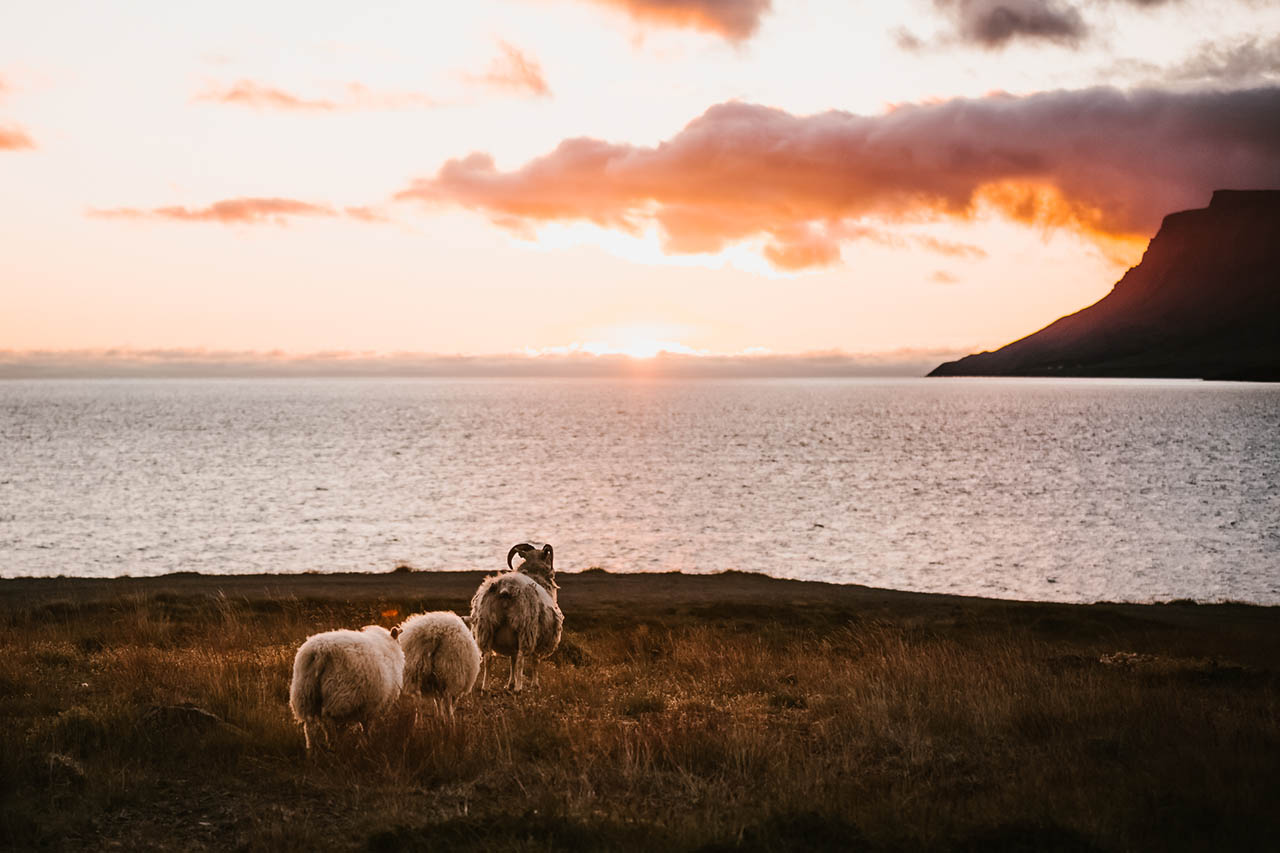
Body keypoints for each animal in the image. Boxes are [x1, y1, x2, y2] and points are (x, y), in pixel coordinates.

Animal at [468, 540, 563, 686]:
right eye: (548, 558)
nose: (553, 570)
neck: (536, 576)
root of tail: (505, 588)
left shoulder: (512, 642)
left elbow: (511, 661)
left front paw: (510, 684)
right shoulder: (539, 638)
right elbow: (535, 661)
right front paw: (534, 684)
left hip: (486, 627)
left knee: (488, 658)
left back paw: (486, 687)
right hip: (525, 629)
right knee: (520, 660)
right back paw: (519, 687)